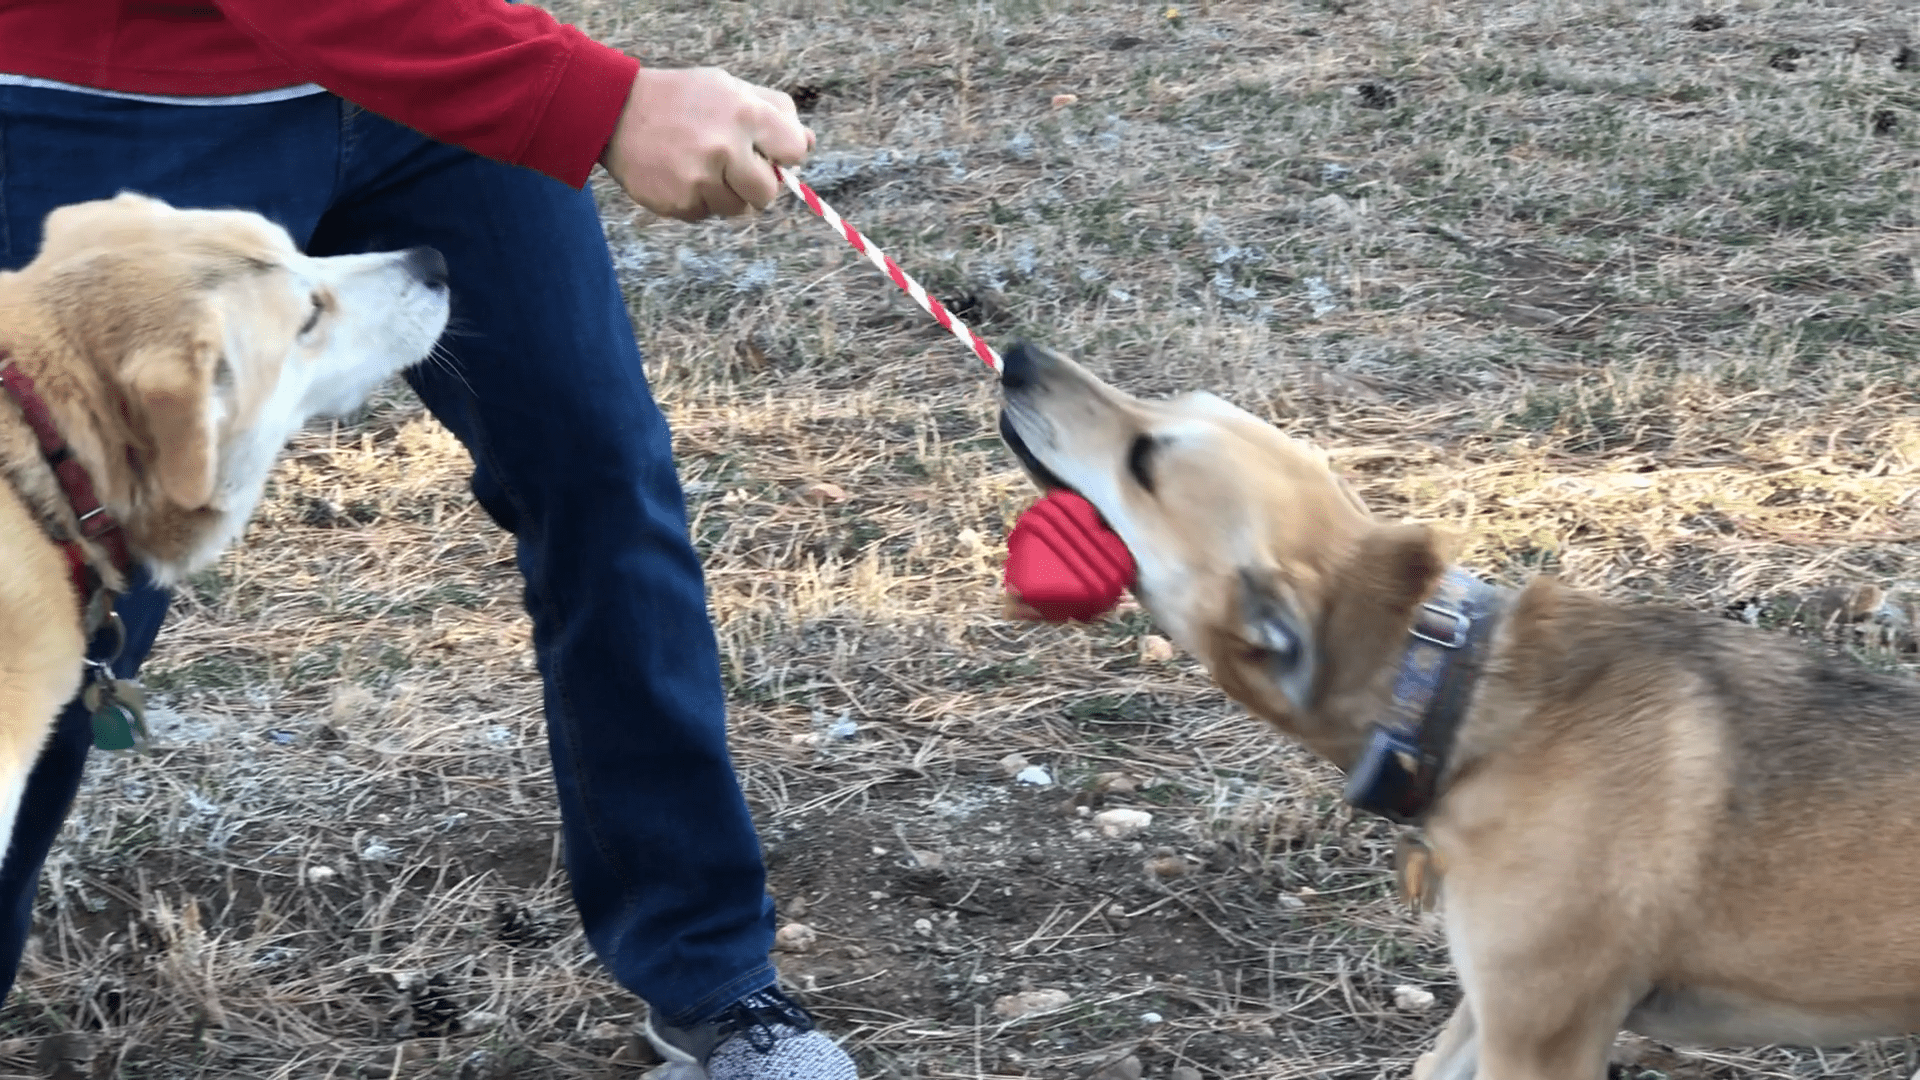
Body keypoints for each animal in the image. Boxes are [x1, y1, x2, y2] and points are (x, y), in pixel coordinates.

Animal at [998, 342, 1920, 1076]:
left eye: (1145, 461)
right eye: (1167, 406)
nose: (1016, 353)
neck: (1461, 694)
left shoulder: (1540, 1036)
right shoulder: (1486, 1007)